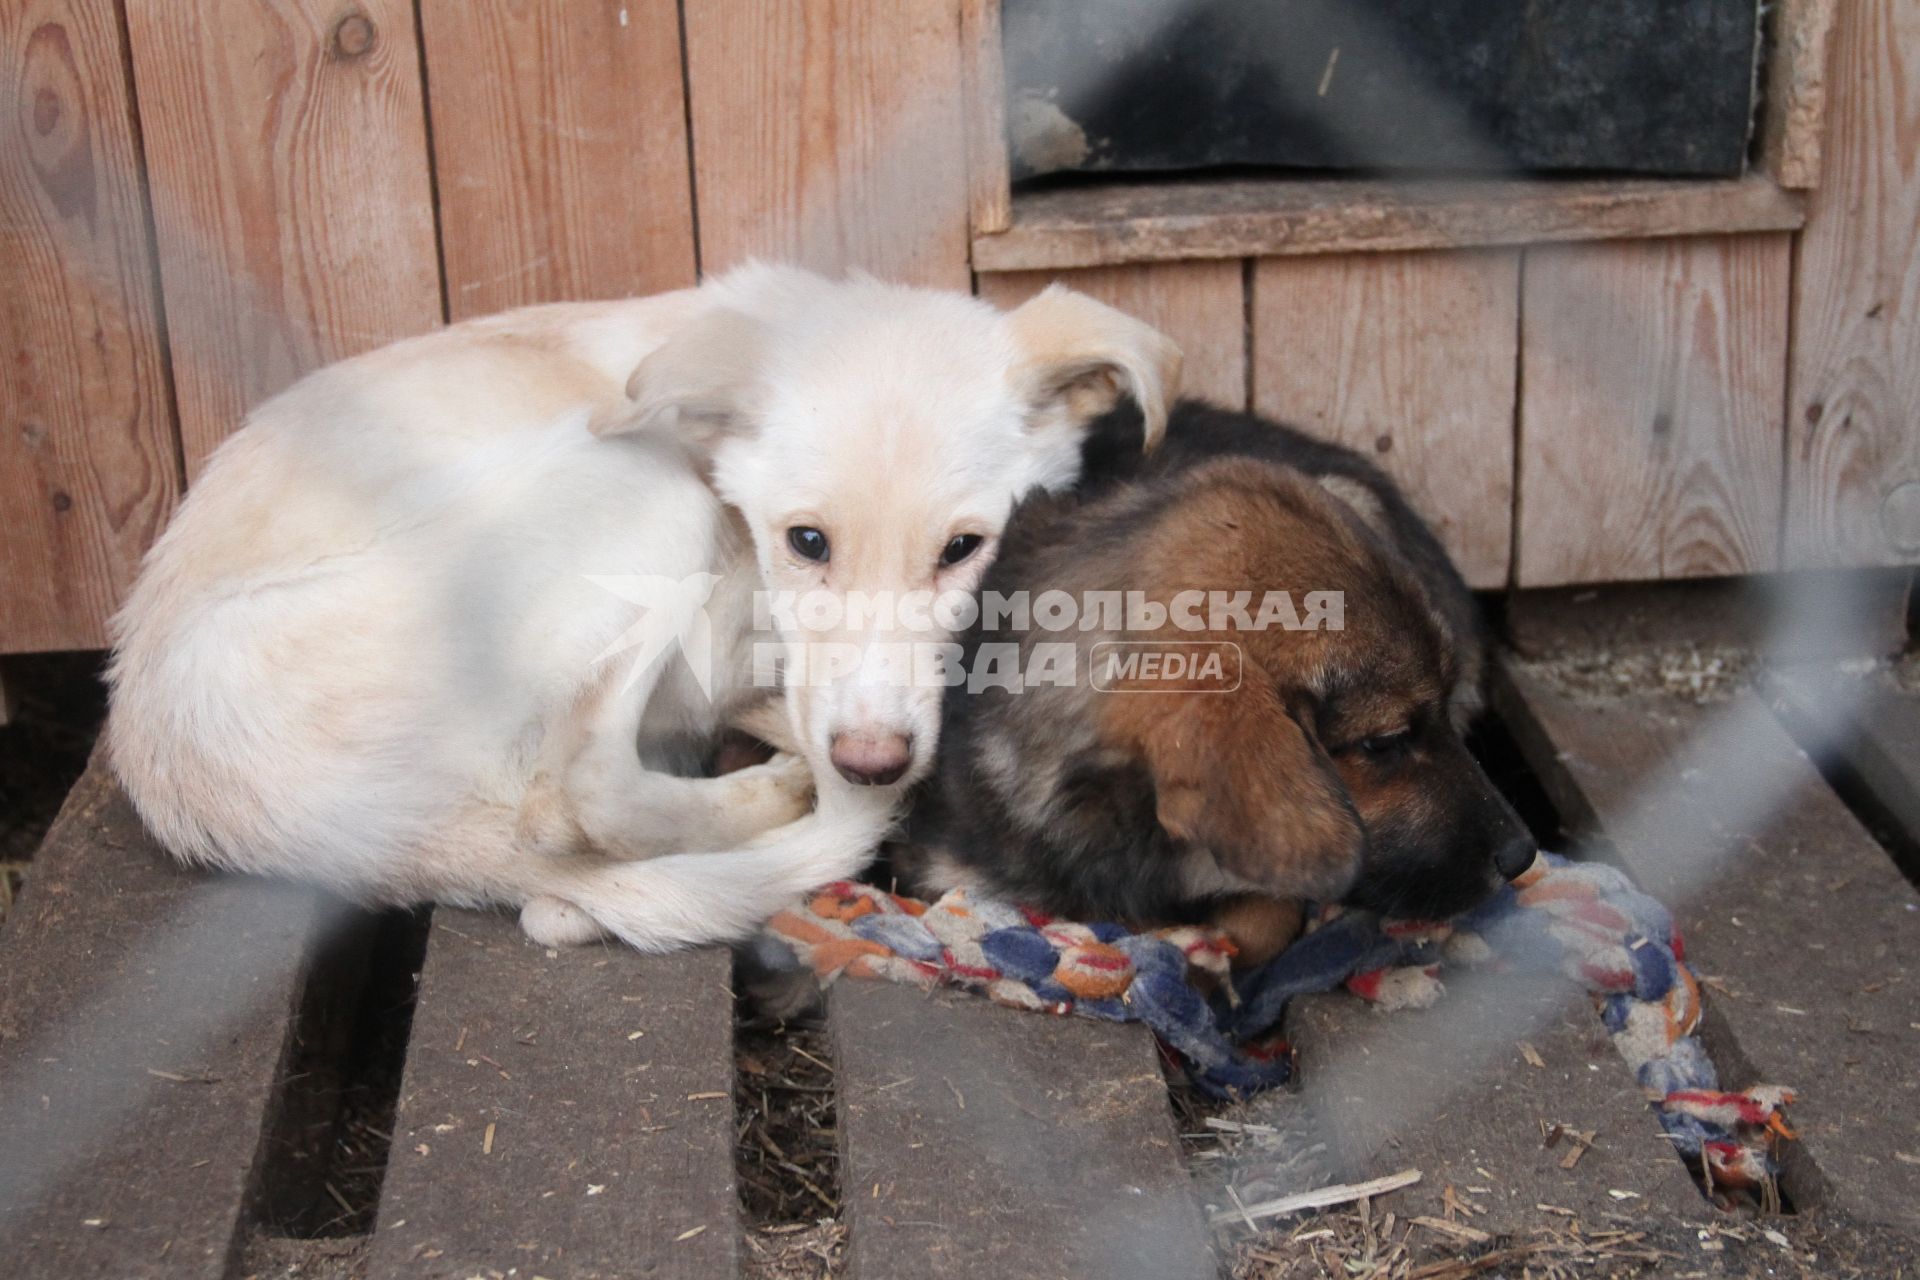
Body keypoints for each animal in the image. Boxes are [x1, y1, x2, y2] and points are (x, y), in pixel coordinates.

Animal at [108, 268, 1182, 951]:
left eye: (963, 549)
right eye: (806, 542)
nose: (870, 764)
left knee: (563, 874)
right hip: (642, 489)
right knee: (576, 794)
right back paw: (769, 787)